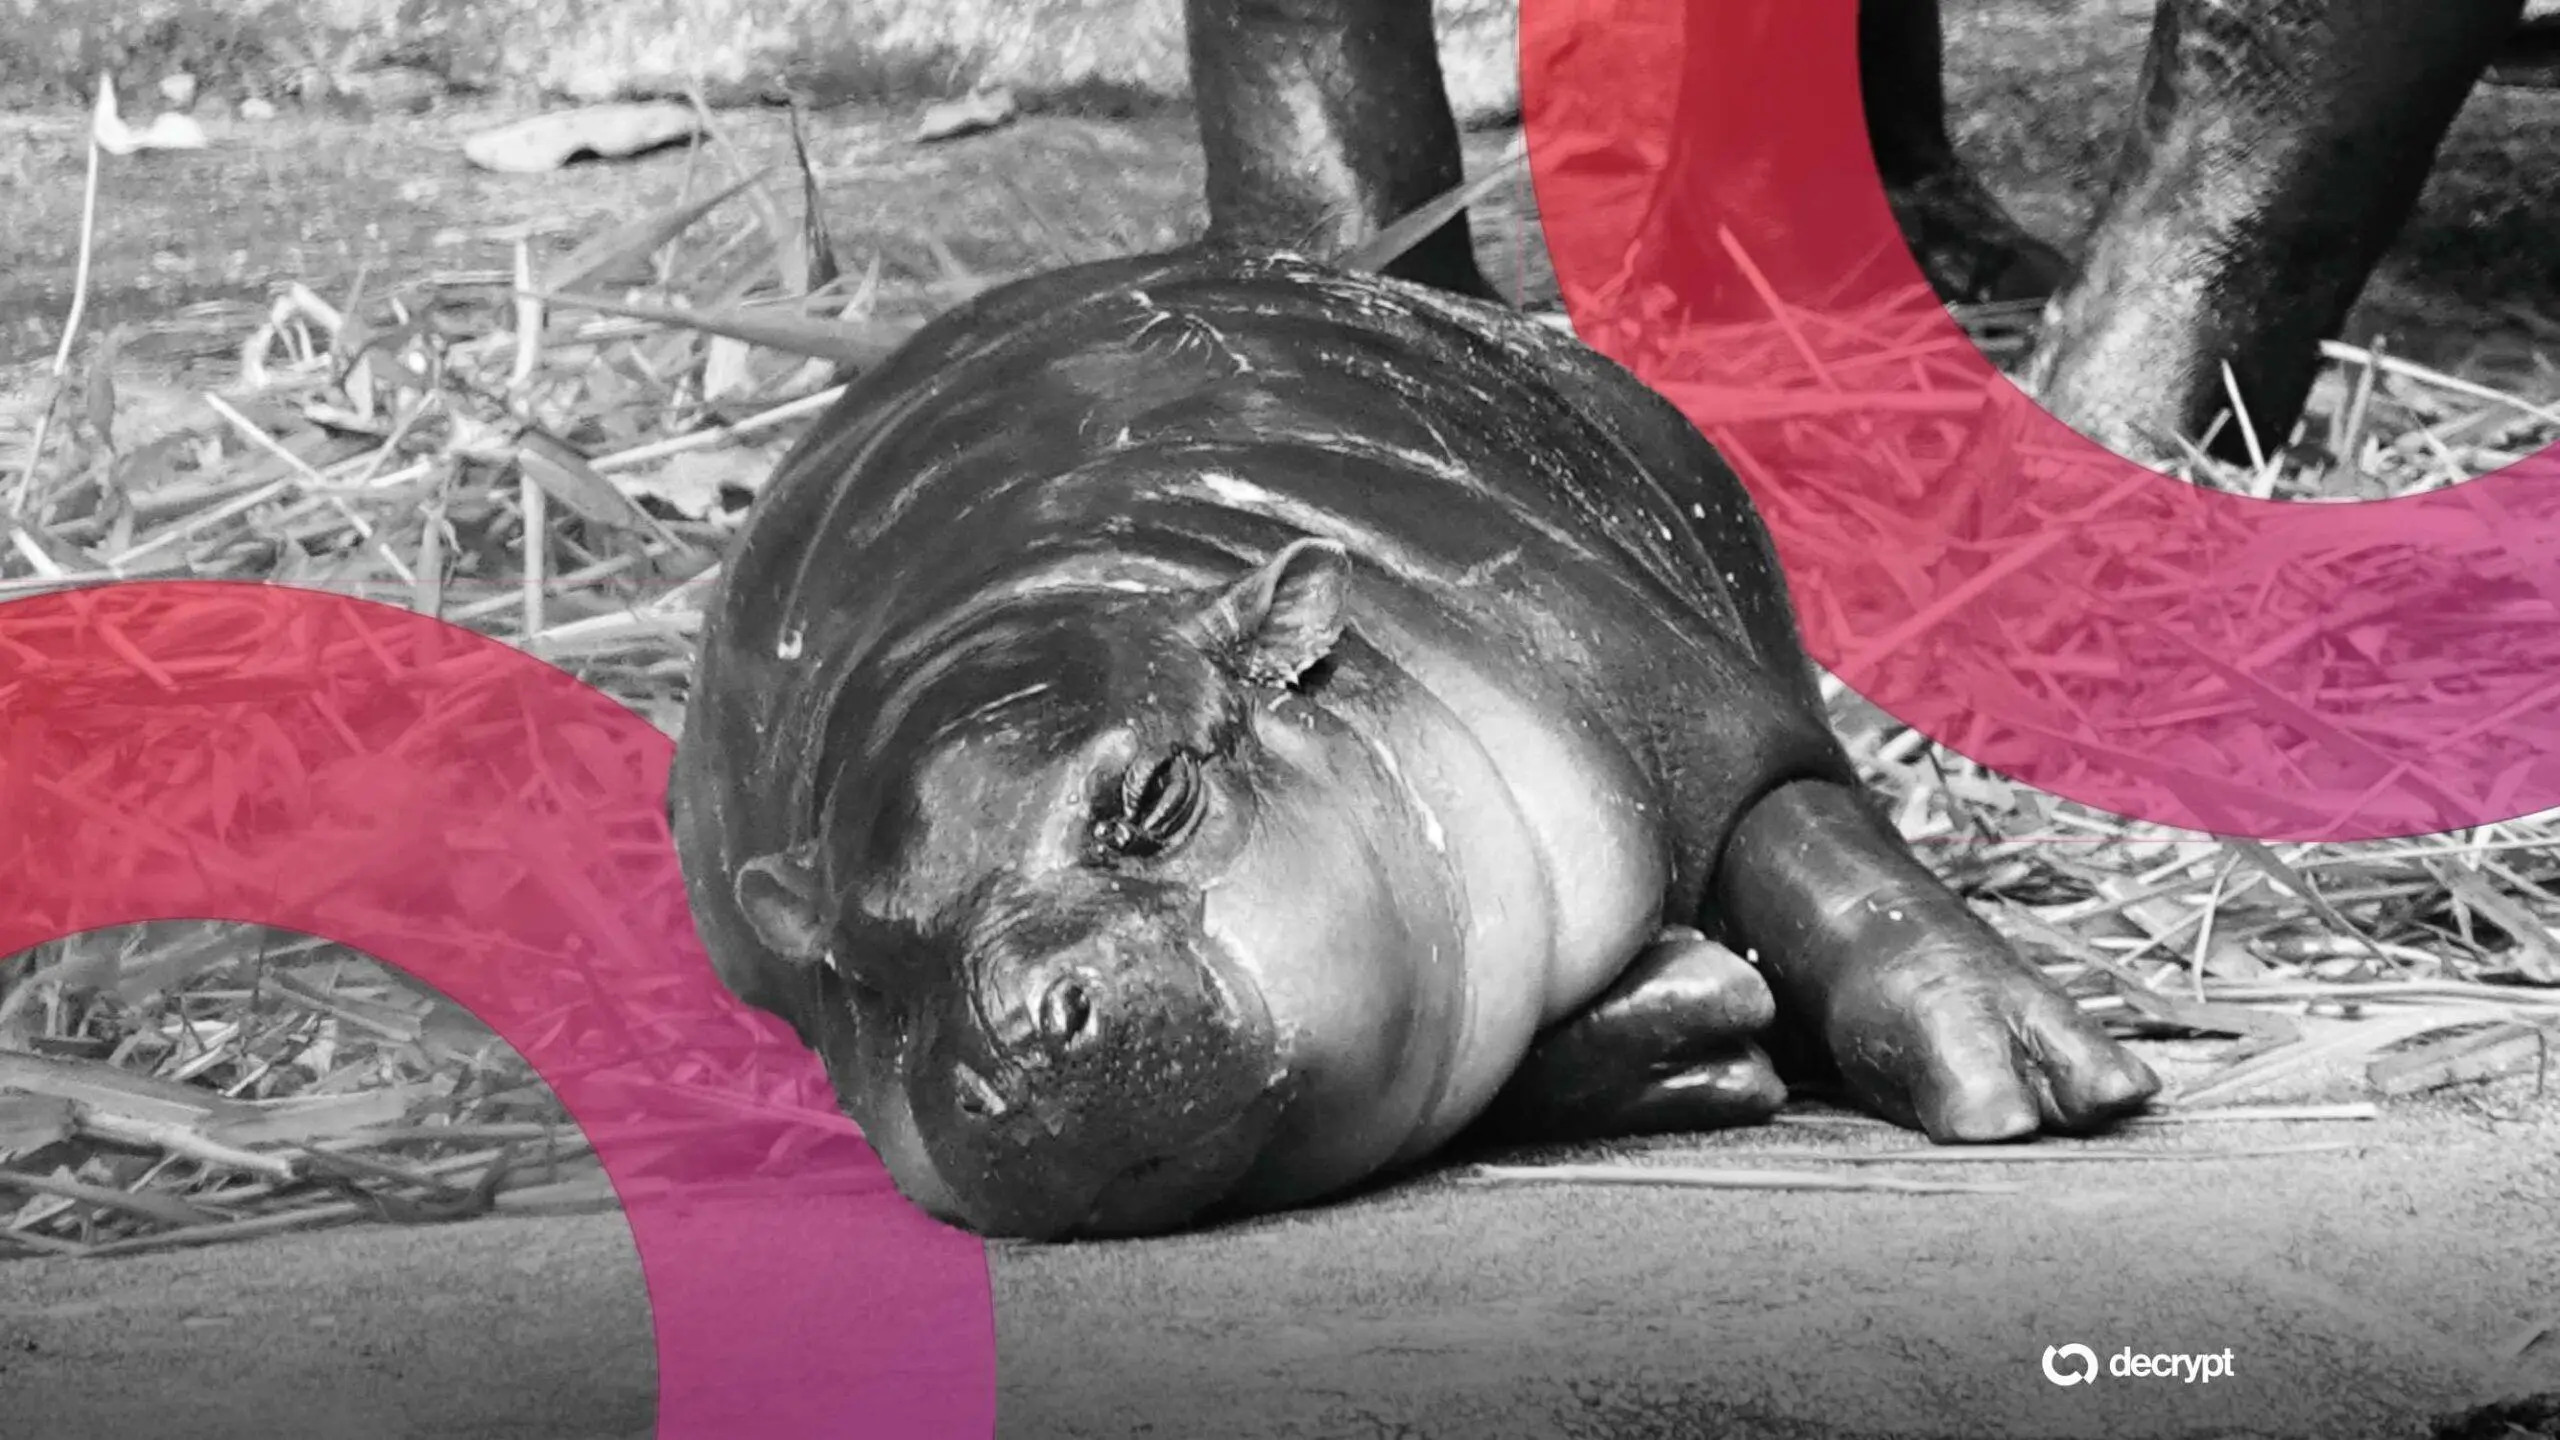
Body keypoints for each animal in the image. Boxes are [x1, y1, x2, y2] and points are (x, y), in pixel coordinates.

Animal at [668, 243, 2162, 1242]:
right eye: (856, 972)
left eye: (1155, 792)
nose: (1014, 1041)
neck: (1046, 590)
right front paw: (1702, 1013)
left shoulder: (1657, 682)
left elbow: (1828, 858)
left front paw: (2032, 1075)